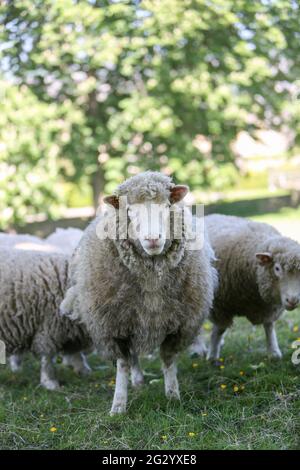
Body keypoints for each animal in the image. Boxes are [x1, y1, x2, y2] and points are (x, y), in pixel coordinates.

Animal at [0, 246, 90, 390]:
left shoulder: (68, 329)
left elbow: (75, 353)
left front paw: (83, 370)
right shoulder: (49, 327)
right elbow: (48, 357)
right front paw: (50, 383)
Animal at [61, 171, 216, 414]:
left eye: (166, 206)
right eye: (130, 211)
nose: (153, 239)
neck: (152, 276)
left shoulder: (178, 324)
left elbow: (168, 359)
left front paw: (173, 396)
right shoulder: (115, 326)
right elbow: (122, 365)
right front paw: (118, 406)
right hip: (130, 319)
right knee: (132, 358)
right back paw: (137, 380)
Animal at [203, 215, 300, 362]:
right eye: (277, 268)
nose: (293, 300)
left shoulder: (268, 308)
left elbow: (269, 326)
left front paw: (273, 352)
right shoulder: (220, 307)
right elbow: (220, 329)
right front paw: (213, 356)